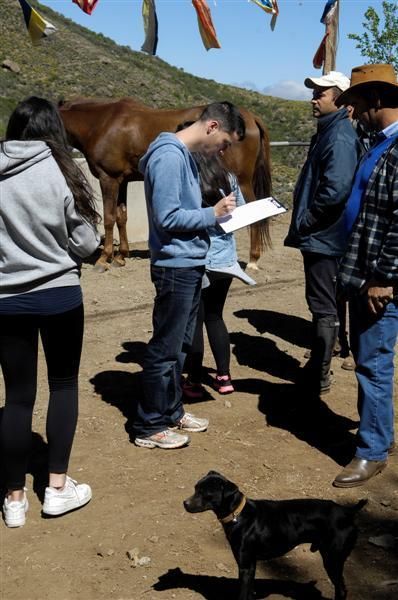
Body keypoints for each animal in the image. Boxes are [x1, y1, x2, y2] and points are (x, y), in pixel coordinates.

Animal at [58, 98, 270, 272]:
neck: (102, 124)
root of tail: (251, 117)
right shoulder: (122, 180)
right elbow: (121, 217)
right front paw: (121, 256)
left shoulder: (108, 178)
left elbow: (109, 218)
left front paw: (104, 259)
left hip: (242, 181)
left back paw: (253, 260)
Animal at [183, 472, 366, 596]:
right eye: (195, 488)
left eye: (205, 494)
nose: (184, 503)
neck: (239, 514)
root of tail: (347, 512)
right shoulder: (251, 565)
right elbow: (249, 592)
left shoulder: (245, 566)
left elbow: (243, 594)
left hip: (333, 560)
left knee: (341, 590)